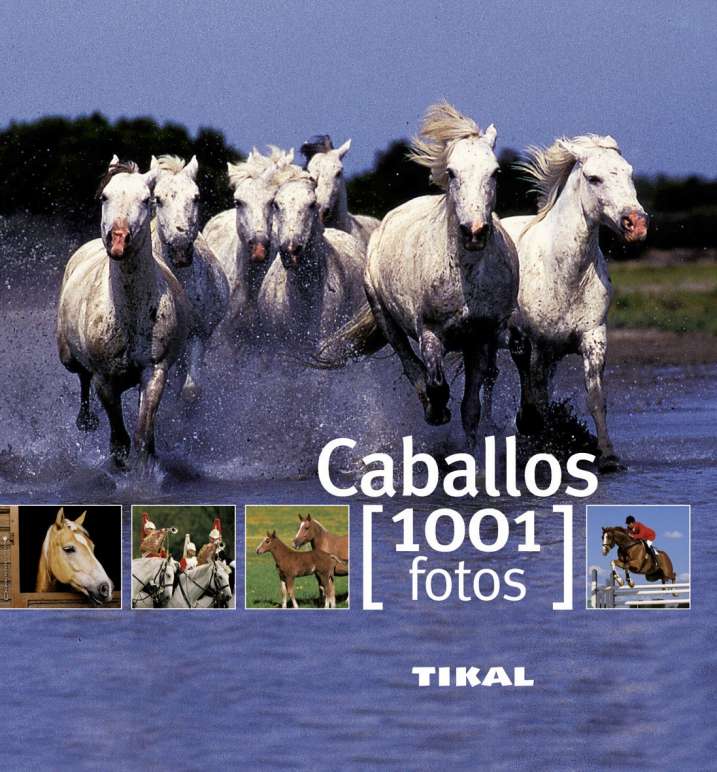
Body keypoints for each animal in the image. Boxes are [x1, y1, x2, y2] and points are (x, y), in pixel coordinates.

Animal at [57, 157, 190, 466]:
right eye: (105, 197)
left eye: (146, 199)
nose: (118, 240)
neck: (129, 313)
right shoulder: (104, 379)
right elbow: (119, 441)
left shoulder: (154, 371)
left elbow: (142, 438)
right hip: (67, 356)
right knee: (81, 375)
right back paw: (86, 421)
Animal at [316, 102, 519, 450]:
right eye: (451, 172)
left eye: (495, 172)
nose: (474, 232)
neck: (466, 277)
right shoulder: (430, 333)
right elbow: (435, 381)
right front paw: (437, 411)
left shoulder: (481, 338)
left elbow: (471, 409)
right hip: (385, 317)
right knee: (409, 363)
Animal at [499, 135, 648, 472]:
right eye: (594, 178)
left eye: (630, 172)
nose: (636, 224)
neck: (563, 275)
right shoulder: (535, 344)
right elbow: (537, 400)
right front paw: (539, 448)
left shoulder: (592, 337)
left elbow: (595, 398)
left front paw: (608, 457)